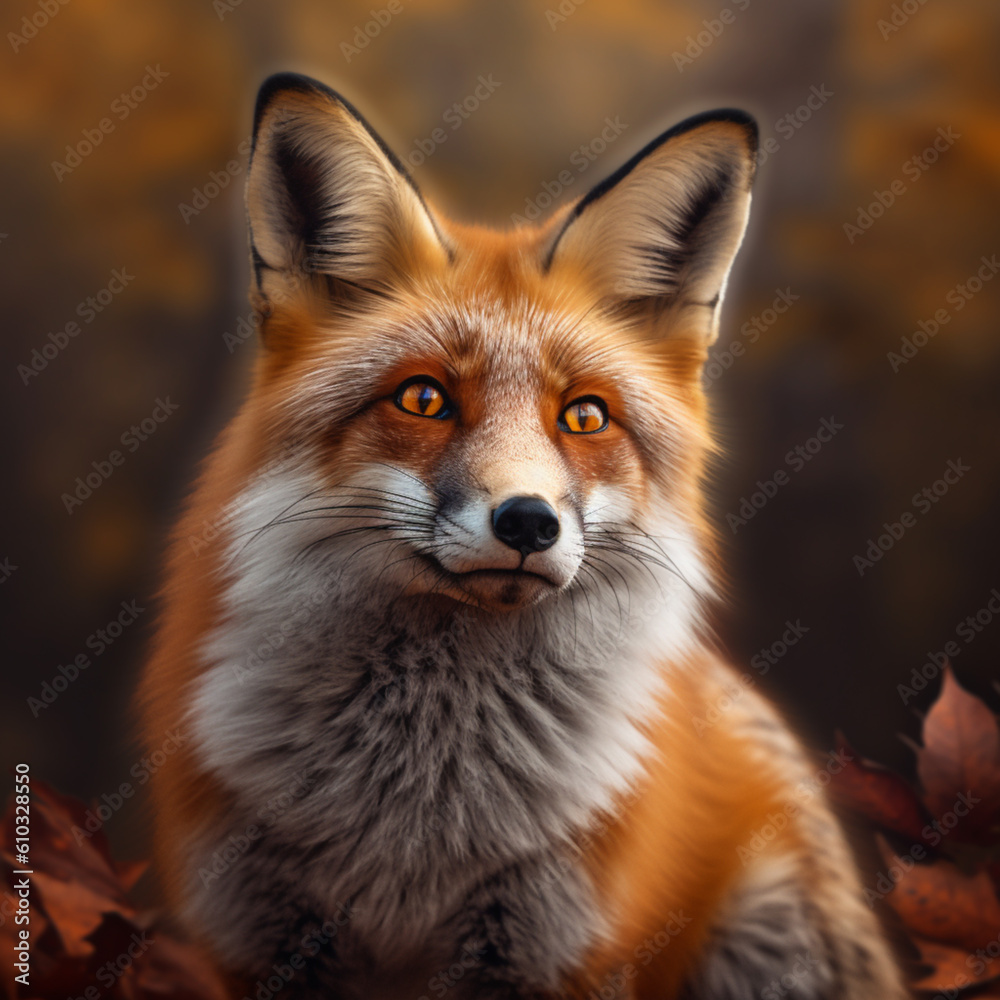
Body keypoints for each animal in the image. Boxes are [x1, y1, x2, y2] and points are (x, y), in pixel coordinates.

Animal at [138, 73, 910, 999]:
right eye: (424, 399)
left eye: (585, 416)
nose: (529, 522)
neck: (417, 809)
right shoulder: (259, 936)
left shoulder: (558, 944)